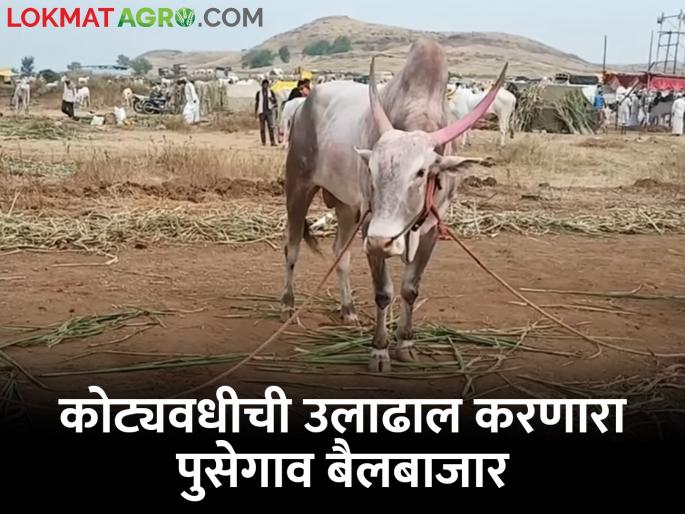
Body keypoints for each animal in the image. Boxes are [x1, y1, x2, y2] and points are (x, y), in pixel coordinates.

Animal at [281, 39, 504, 372]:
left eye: (421, 172)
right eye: (372, 167)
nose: (382, 240)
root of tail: (305, 104)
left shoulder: (431, 228)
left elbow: (410, 288)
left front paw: (406, 344)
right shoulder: (370, 225)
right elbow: (383, 291)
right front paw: (379, 350)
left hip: (346, 207)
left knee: (340, 253)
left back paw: (347, 308)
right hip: (298, 187)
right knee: (292, 247)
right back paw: (287, 302)